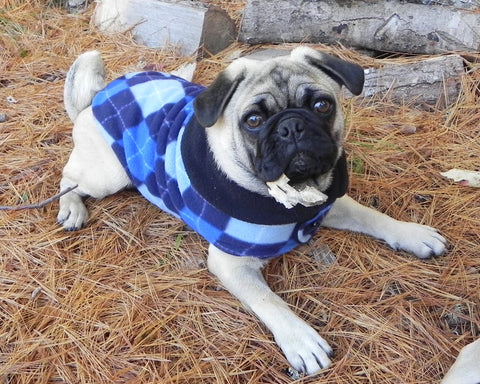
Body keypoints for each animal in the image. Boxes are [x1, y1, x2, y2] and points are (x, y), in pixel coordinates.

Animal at [57, 48, 446, 376]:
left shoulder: (329, 203)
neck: (290, 196)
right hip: (108, 175)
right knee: (69, 176)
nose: (292, 126)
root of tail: (95, 99)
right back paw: (71, 209)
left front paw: (413, 234)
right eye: (254, 120)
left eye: (322, 105)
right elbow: (269, 301)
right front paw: (301, 338)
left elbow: (372, 216)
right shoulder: (232, 264)